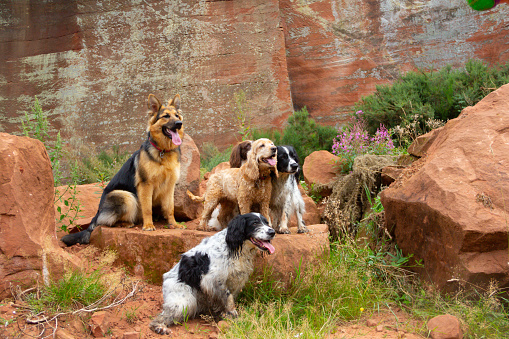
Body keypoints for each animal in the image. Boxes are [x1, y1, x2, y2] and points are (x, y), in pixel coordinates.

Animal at [61, 94, 185, 246]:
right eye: (166, 116)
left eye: (177, 115)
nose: (179, 123)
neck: (163, 151)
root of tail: (97, 214)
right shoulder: (146, 185)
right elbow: (147, 208)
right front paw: (148, 225)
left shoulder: (169, 186)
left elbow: (170, 208)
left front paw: (174, 224)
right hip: (126, 196)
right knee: (105, 223)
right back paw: (126, 224)